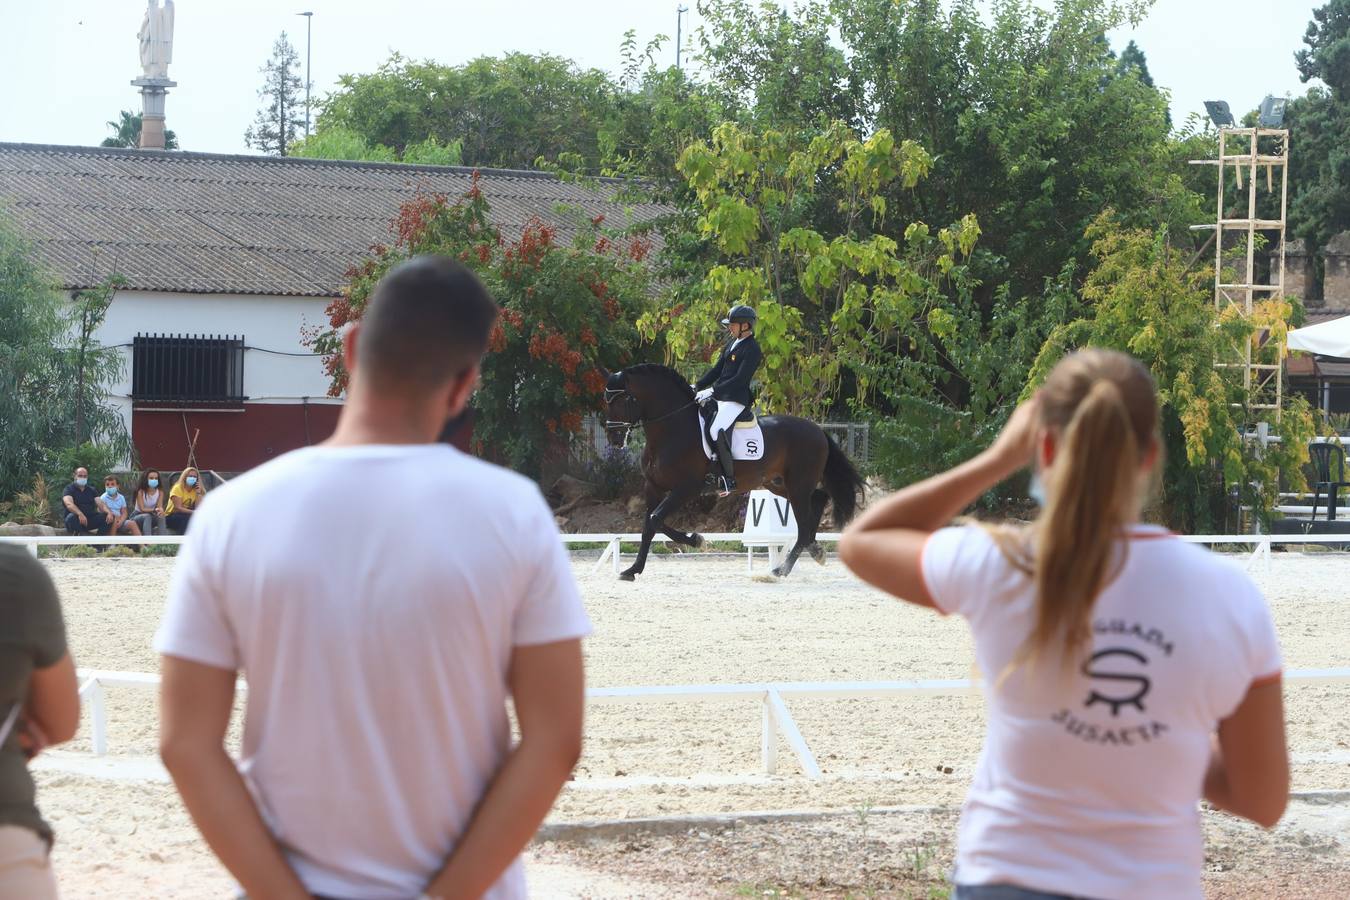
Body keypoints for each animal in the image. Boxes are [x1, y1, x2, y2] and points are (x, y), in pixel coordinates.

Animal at [602, 367, 864, 585]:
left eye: (621, 401)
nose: (614, 439)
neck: (671, 430)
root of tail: (817, 429)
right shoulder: (653, 486)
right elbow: (649, 524)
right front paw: (633, 569)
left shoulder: (687, 488)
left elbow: (655, 519)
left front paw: (696, 541)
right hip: (779, 484)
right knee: (818, 498)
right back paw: (814, 549)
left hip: (797, 485)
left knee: (806, 517)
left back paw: (781, 569)